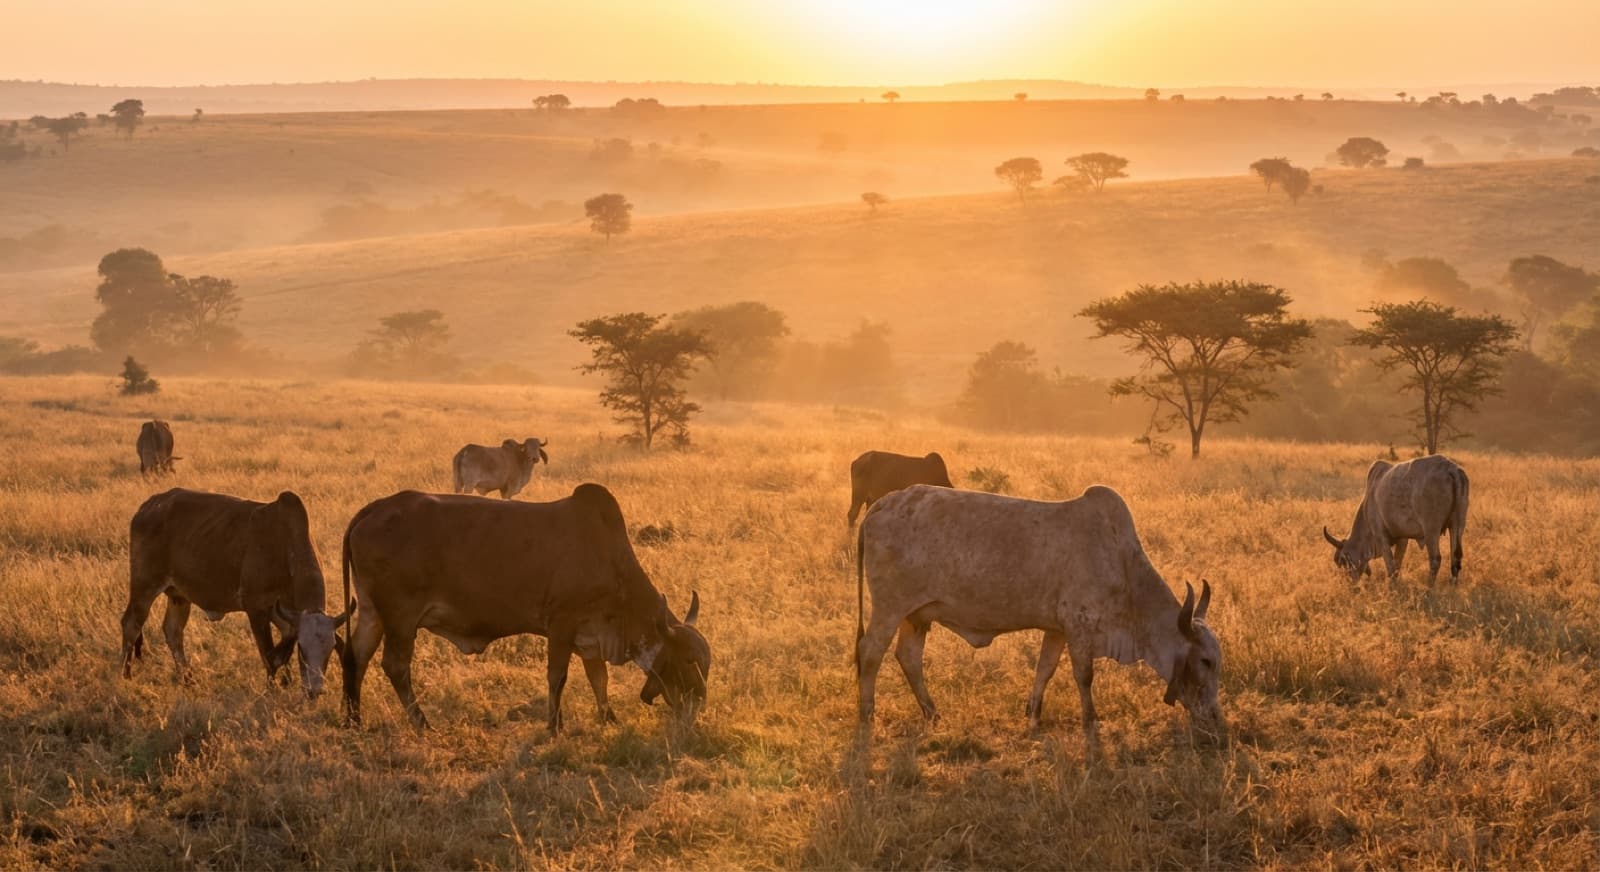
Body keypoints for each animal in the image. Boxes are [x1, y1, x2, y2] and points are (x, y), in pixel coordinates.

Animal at [121, 489, 349, 698]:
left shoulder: (283, 614)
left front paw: (286, 681)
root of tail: (148, 506)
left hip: (179, 596)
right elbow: (269, 654)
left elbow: (285, 645)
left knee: (173, 631)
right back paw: (125, 676)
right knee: (131, 624)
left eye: (330, 649)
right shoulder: (256, 608)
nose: (314, 691)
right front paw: (273, 689)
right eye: (303, 649)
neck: (285, 548)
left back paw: (189, 680)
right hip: (144, 586)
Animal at [340, 485, 710, 734]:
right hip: (401, 618)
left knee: (355, 655)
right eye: (688, 661)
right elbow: (557, 677)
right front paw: (554, 726)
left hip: (372, 613)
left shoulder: (591, 635)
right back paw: (421, 723)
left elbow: (599, 678)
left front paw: (608, 718)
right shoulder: (561, 625)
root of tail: (375, 508)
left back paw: (354, 720)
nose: (699, 703)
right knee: (395, 666)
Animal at [855, 484, 1224, 747]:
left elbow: (1044, 670)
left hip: (916, 616)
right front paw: (1091, 721)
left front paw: (1033, 717)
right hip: (889, 608)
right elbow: (1084, 676)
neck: (1124, 567)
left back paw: (932, 714)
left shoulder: (1057, 629)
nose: (1216, 719)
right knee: (870, 654)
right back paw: (867, 715)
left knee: (908, 657)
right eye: (1205, 661)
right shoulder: (1078, 625)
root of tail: (881, 504)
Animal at [1323, 454, 1469, 584]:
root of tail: (1451, 468)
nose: (1348, 582)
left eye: (1342, 560)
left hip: (1431, 530)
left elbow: (1391, 566)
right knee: (1456, 558)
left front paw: (1392, 587)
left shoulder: (1381, 537)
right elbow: (1397, 563)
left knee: (1435, 559)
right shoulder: (1402, 539)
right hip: (1457, 525)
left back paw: (1429, 587)